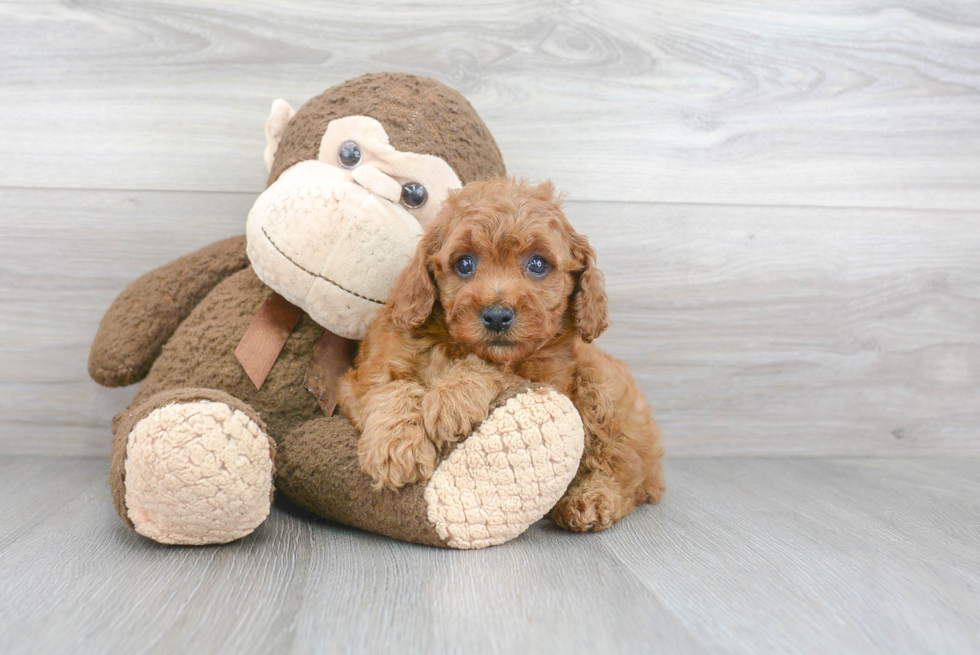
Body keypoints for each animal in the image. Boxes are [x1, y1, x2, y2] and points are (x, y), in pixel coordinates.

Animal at [338, 177, 668, 532]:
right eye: (464, 264)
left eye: (537, 264)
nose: (497, 316)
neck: (457, 344)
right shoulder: (368, 372)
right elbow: (392, 388)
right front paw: (396, 448)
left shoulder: (548, 378)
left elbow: (497, 369)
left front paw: (451, 398)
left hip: (604, 388)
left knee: (624, 472)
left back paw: (590, 499)